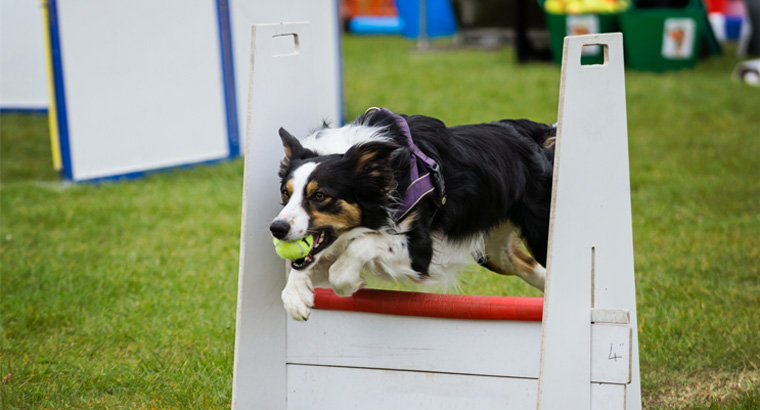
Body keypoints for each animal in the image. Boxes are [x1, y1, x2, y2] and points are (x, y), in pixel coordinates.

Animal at [270, 108, 556, 320]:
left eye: (320, 196)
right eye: (285, 193)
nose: (277, 228)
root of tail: (532, 134)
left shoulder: (420, 251)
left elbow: (363, 245)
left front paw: (345, 280)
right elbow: (304, 264)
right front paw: (296, 297)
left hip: (541, 233)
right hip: (494, 253)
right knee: (529, 266)